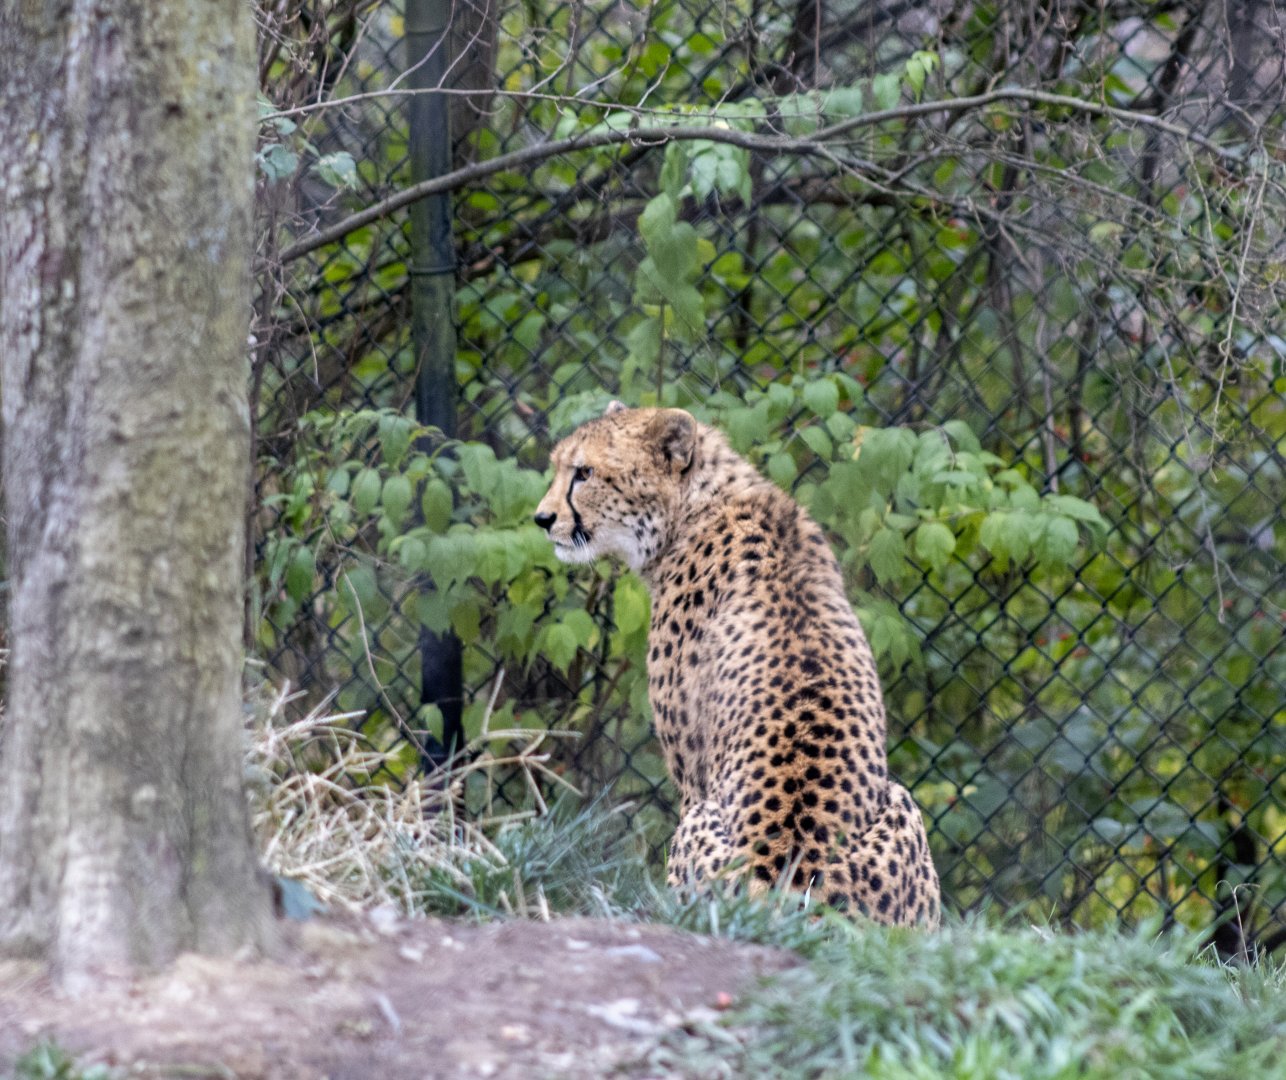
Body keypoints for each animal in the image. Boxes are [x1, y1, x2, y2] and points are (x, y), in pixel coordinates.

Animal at [534, 401, 941, 927]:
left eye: (584, 473)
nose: (542, 518)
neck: (698, 507)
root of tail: (793, 894)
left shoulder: (692, 777)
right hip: (902, 809)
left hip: (702, 821)